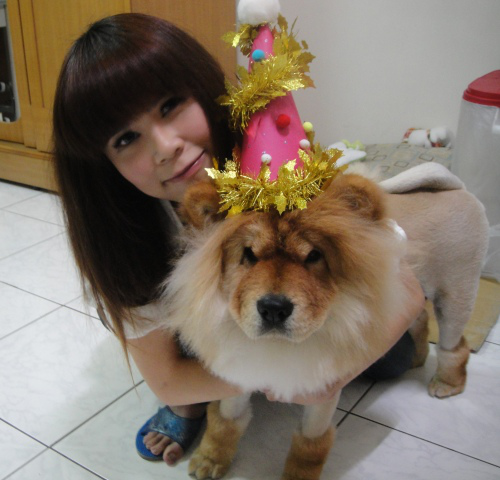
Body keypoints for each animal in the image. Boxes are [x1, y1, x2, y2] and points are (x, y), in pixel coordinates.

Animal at [160, 163, 488, 480]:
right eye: (249, 255)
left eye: (314, 255)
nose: (274, 308)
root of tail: (457, 188)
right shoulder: (240, 370)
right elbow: (225, 421)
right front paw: (210, 459)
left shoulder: (323, 388)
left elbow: (311, 445)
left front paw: (298, 473)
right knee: (420, 320)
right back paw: (418, 358)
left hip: (455, 296)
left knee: (455, 345)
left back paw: (447, 383)